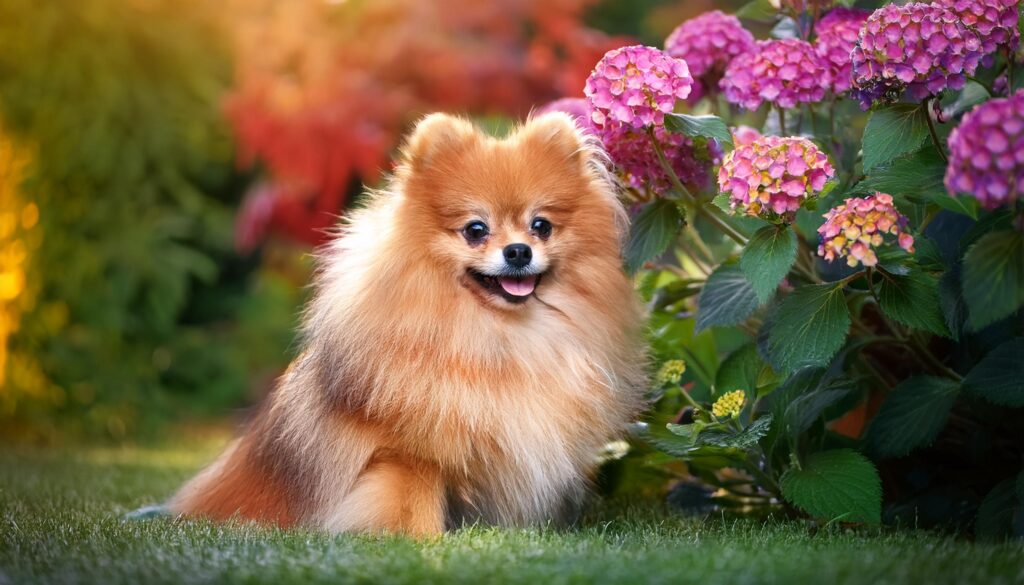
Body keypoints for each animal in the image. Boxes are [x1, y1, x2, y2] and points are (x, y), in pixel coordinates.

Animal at [168, 112, 647, 536]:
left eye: (541, 226)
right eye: (476, 229)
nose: (518, 251)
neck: (499, 335)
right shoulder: (405, 454)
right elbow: (411, 499)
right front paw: (419, 539)